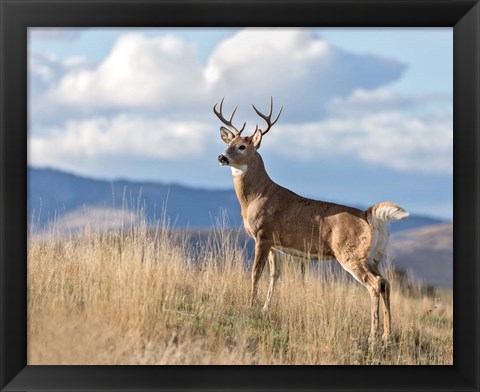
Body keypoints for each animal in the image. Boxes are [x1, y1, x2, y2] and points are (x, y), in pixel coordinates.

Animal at [214, 96, 408, 342]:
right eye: (229, 142)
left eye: (242, 146)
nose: (222, 157)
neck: (257, 195)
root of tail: (369, 215)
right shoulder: (275, 243)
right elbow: (275, 275)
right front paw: (265, 309)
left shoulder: (263, 234)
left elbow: (256, 273)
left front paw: (250, 306)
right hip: (373, 258)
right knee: (386, 283)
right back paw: (386, 335)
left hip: (351, 254)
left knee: (375, 284)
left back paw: (373, 336)